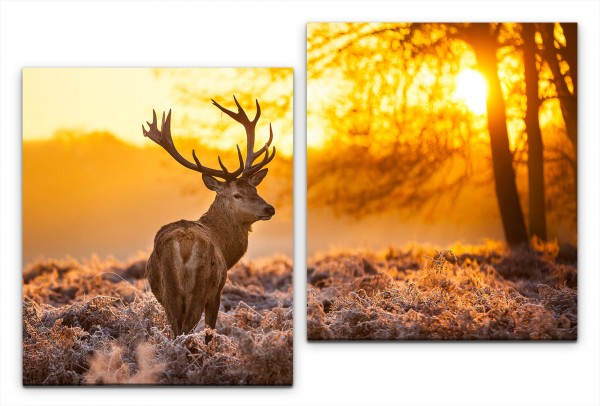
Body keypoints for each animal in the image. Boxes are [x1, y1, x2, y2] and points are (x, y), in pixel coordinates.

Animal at [143, 96, 276, 344]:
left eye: (255, 189)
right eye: (237, 194)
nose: (269, 208)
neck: (225, 247)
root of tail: (184, 244)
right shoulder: (217, 292)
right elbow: (209, 333)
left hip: (168, 291)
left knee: (176, 329)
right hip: (200, 287)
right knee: (186, 329)